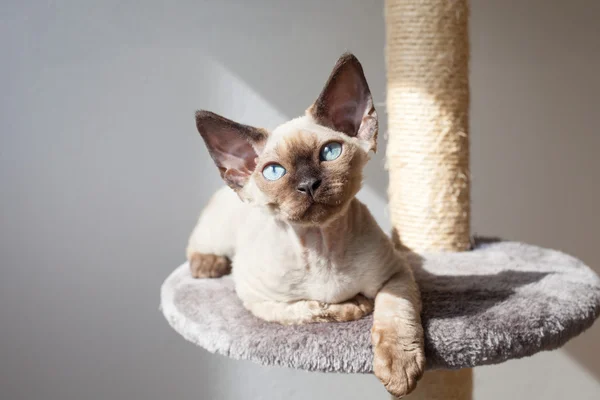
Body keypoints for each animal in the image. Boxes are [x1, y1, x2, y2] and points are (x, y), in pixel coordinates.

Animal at [185, 53, 424, 396]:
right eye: (274, 172)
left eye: (330, 152)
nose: (308, 184)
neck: (320, 244)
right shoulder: (258, 299)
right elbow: (310, 308)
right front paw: (355, 306)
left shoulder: (396, 274)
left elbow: (396, 313)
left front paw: (400, 370)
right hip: (218, 235)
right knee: (198, 245)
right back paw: (207, 265)